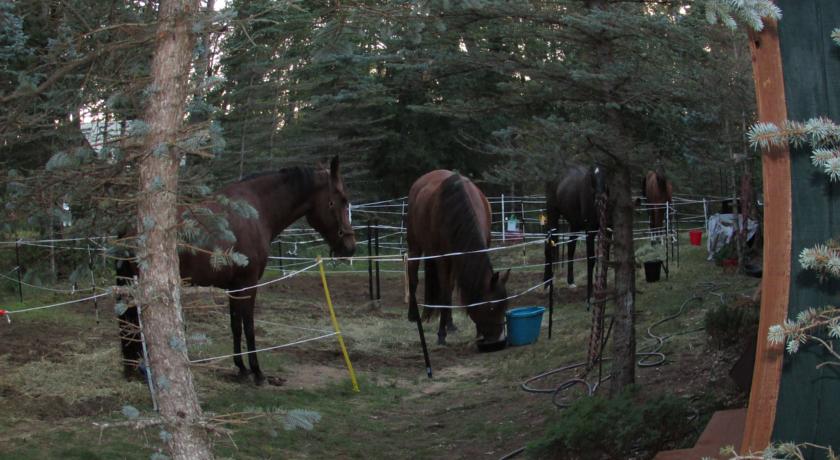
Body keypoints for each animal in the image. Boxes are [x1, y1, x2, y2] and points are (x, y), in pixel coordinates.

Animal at [116, 156, 355, 385]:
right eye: (340, 201)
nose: (350, 247)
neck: (256, 212)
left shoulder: (234, 287)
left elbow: (235, 325)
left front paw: (241, 368)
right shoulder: (248, 284)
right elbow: (249, 326)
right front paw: (257, 372)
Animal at [406, 170, 511, 348]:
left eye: (504, 306)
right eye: (490, 308)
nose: (497, 339)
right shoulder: (442, 258)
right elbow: (445, 292)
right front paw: (441, 334)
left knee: (450, 284)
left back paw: (450, 323)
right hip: (415, 247)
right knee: (413, 279)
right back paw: (413, 316)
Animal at [543, 165, 607, 304]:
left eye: (606, 175)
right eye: (592, 177)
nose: (600, 198)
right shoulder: (590, 232)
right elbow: (591, 260)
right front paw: (590, 295)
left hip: (574, 224)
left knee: (571, 247)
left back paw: (570, 282)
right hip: (553, 217)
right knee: (549, 245)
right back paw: (546, 284)